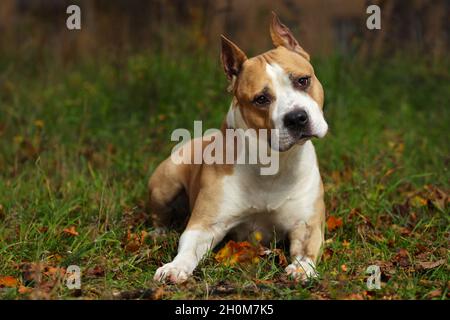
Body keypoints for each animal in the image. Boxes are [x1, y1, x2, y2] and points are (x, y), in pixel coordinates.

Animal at [149, 12, 328, 282]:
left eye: (303, 80)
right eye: (261, 99)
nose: (297, 118)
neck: (272, 164)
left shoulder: (306, 223)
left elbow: (306, 249)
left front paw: (301, 269)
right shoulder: (205, 224)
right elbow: (188, 248)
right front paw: (174, 267)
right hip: (165, 182)